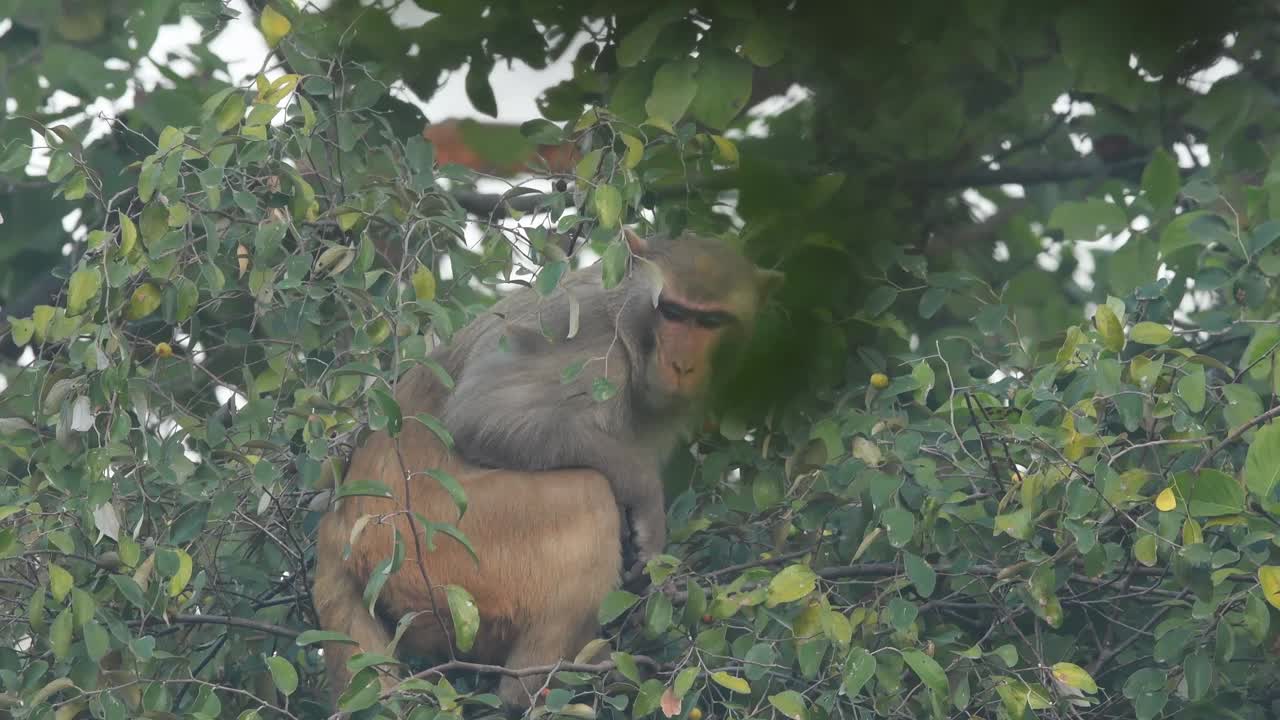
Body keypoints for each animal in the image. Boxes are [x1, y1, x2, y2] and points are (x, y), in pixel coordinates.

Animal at [437, 229, 778, 566]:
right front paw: (648, 499)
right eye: (672, 312)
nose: (681, 365)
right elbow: (481, 416)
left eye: (711, 322)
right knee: (588, 487)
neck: (625, 322)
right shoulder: (594, 351)